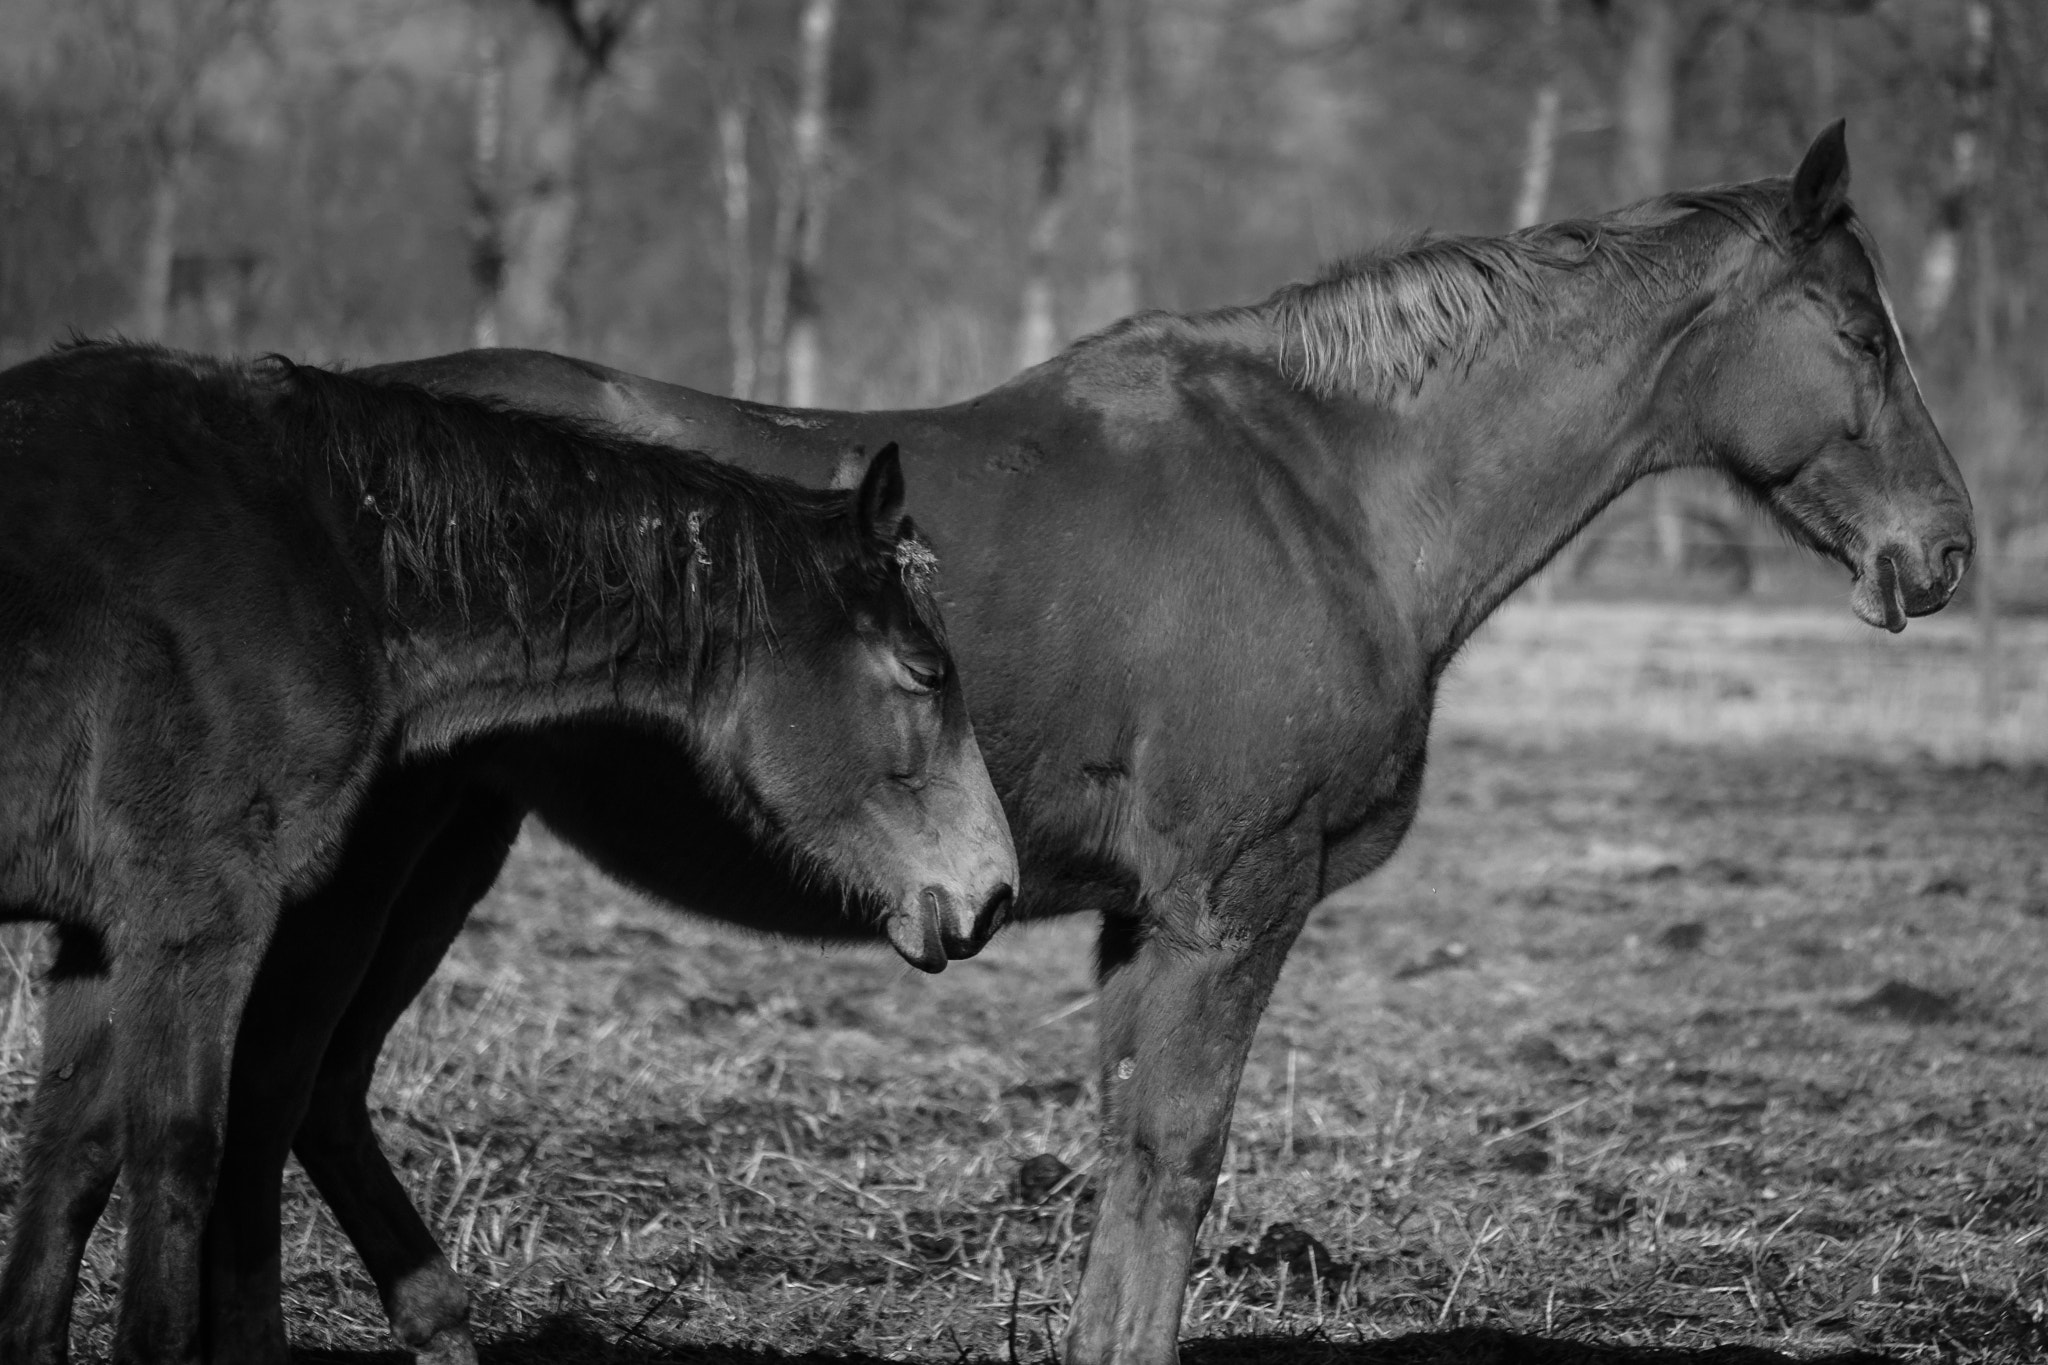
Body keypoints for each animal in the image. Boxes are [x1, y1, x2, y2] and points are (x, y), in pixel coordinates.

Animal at [0, 341, 1015, 1365]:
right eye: (926, 672)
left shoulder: (99, 935)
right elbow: (174, 1155)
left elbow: (70, 1155)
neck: (314, 555)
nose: (995, 890)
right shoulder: (194, 916)